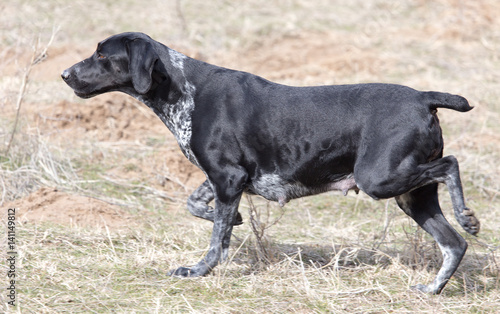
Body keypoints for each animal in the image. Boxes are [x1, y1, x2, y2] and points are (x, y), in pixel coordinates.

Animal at [62, 32, 480, 294]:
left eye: (103, 54)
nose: (64, 74)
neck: (183, 90)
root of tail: (423, 97)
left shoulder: (228, 178)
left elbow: (216, 240)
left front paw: (198, 270)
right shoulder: (224, 178)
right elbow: (197, 205)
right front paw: (234, 219)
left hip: (379, 178)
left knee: (452, 167)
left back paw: (467, 216)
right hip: (412, 196)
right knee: (453, 244)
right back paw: (434, 287)